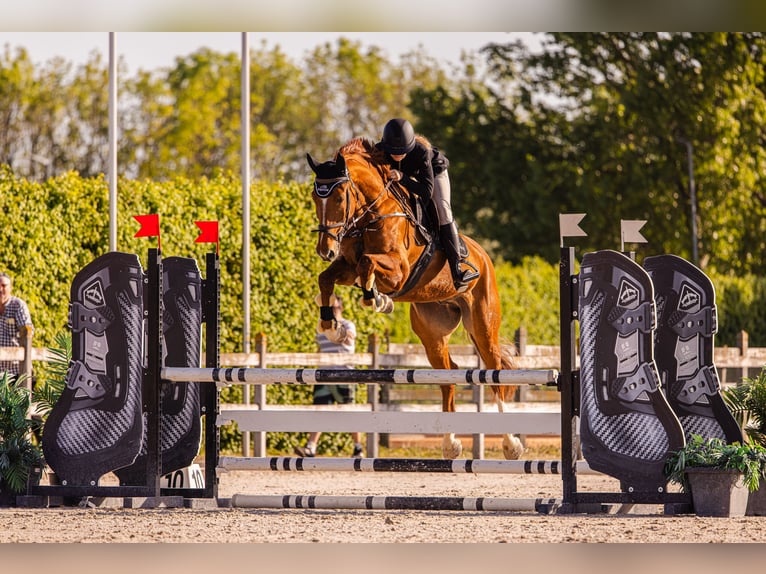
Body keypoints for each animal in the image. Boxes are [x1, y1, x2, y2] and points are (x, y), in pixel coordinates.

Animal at [306, 137, 520, 462]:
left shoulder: (398, 271)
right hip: (432, 332)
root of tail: (483, 256)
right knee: (449, 374)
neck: (373, 214)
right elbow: (327, 277)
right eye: (315, 198)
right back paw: (450, 444)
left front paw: (376, 299)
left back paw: (510, 444)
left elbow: (368, 264)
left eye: (340, 197)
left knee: (494, 371)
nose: (325, 250)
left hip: (483, 324)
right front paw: (330, 324)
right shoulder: (347, 266)